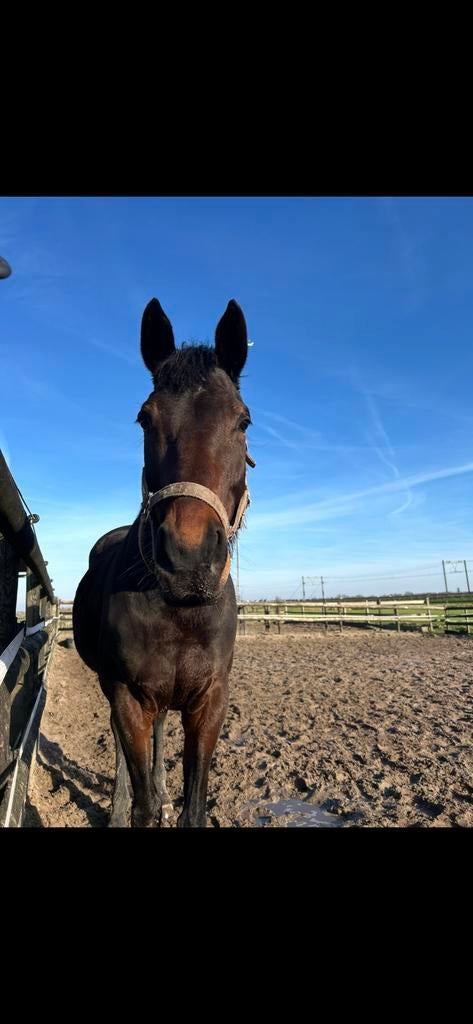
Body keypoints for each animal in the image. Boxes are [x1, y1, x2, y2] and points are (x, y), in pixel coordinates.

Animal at [73, 298, 254, 827]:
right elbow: (142, 805)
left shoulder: (209, 702)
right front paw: (130, 805)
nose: (189, 560)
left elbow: (193, 807)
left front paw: (172, 796)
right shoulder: (128, 698)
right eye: (144, 419)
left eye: (243, 422)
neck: (180, 611)